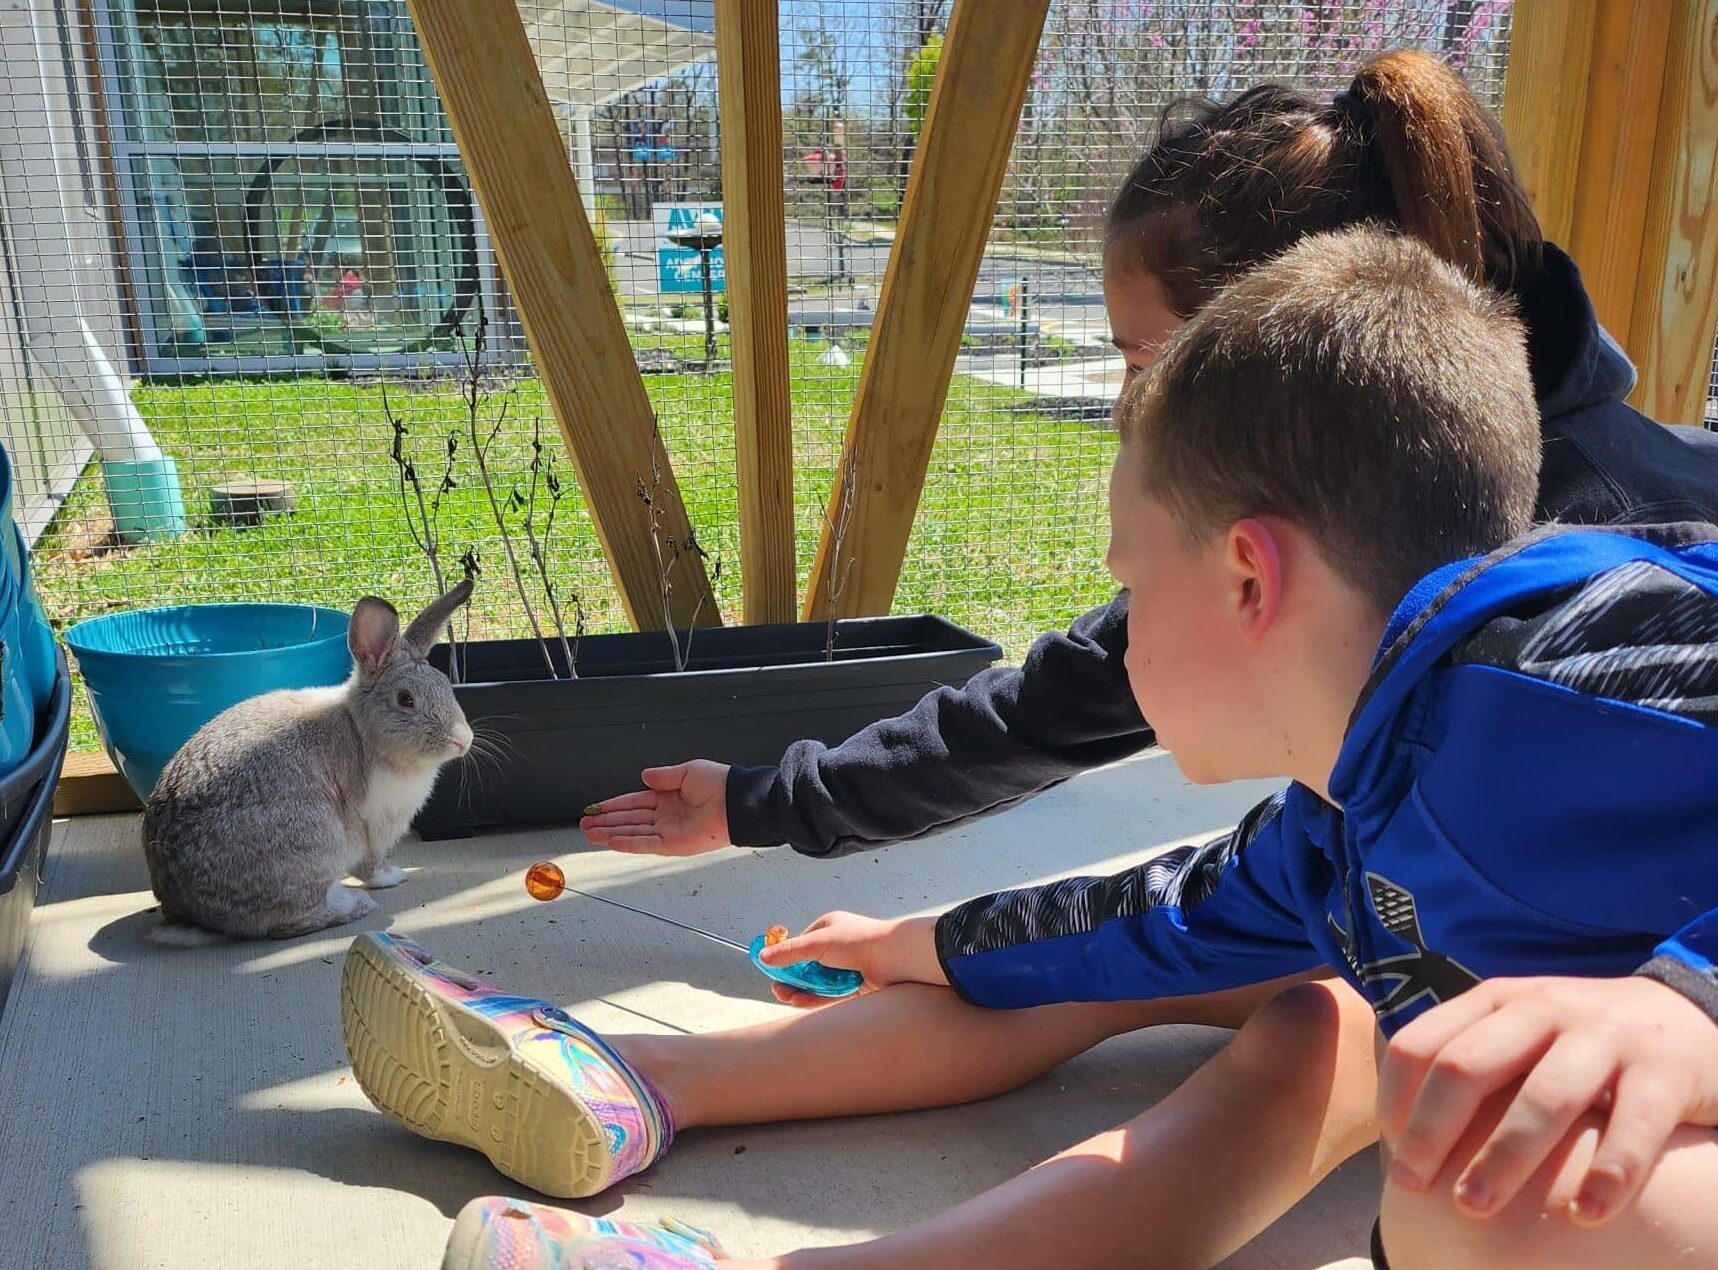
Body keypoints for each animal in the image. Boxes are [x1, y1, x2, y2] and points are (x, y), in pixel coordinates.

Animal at [141, 580, 474, 948]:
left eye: (446, 685)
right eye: (405, 699)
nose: (463, 739)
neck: (362, 730)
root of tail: (193, 916)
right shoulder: (373, 826)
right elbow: (372, 866)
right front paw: (394, 877)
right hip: (317, 844)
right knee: (293, 921)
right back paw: (356, 905)